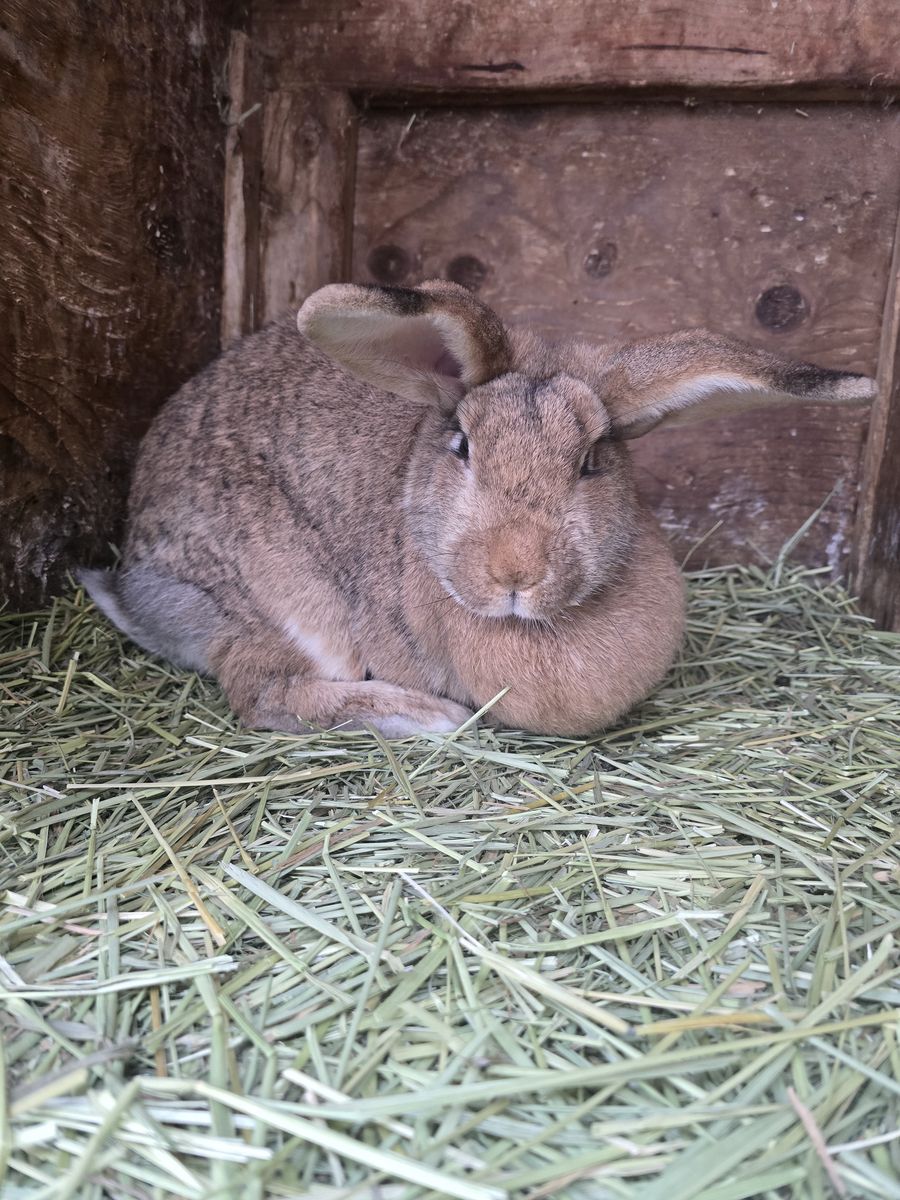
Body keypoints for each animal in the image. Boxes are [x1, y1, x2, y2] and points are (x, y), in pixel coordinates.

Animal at [81, 280, 875, 737]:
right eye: (462, 446)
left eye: (592, 462)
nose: (514, 572)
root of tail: (137, 586)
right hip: (276, 597)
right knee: (264, 693)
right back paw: (426, 718)